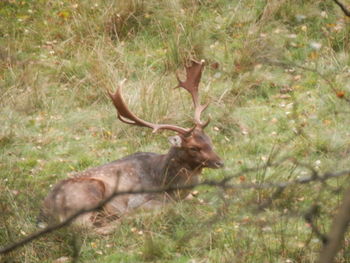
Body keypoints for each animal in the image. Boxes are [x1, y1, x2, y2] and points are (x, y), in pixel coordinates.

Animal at [39, 59, 224, 231]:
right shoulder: (139, 199)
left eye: (209, 140)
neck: (168, 183)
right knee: (86, 229)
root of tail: (46, 210)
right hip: (88, 195)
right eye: (193, 147)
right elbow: (168, 206)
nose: (220, 162)